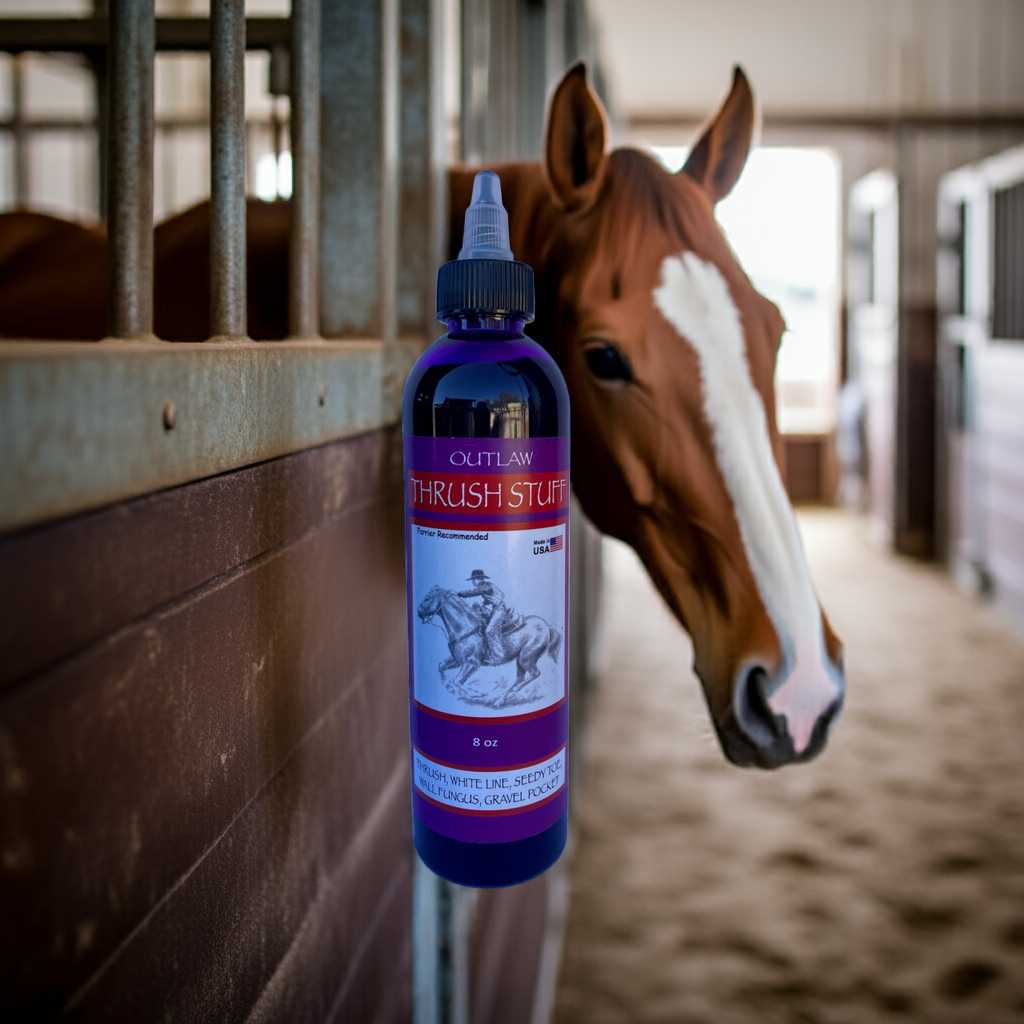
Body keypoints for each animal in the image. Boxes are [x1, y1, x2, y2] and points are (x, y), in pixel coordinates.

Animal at [416, 585, 563, 708]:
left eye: (427, 598)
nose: (418, 612)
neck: (465, 628)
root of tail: (547, 626)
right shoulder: (457, 660)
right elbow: (442, 667)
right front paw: (448, 688)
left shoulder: (472, 663)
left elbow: (457, 681)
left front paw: (477, 694)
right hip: (520, 660)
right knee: (519, 678)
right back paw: (500, 701)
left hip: (526, 658)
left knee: (534, 674)